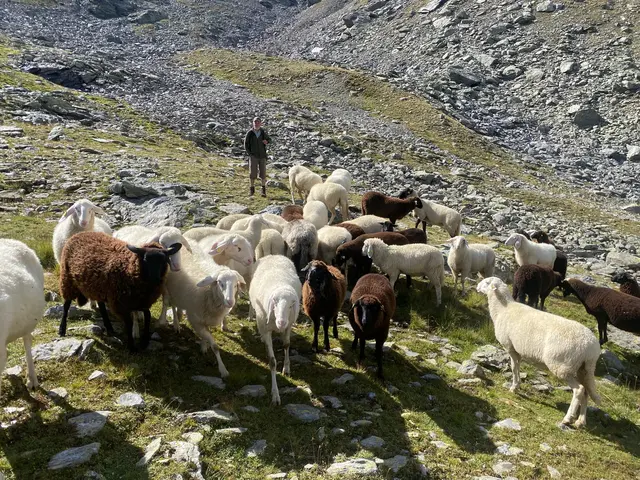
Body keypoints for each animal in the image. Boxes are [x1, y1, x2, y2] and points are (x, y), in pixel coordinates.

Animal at [164, 244, 245, 376]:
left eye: (235, 285)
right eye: (220, 283)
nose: (230, 302)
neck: (209, 293)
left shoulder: (206, 320)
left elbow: (206, 336)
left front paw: (203, 345)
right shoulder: (196, 321)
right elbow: (215, 347)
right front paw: (223, 370)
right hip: (171, 290)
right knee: (173, 305)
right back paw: (176, 324)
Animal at [249, 255, 302, 405]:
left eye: (291, 306)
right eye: (275, 303)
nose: (281, 322)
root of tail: (274, 255)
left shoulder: (289, 326)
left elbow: (287, 345)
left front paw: (287, 368)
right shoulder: (266, 328)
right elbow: (272, 362)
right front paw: (275, 394)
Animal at [477, 277, 601, 428]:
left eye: (487, 282)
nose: (477, 286)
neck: (503, 309)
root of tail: (591, 347)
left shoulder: (510, 347)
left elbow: (513, 368)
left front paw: (513, 387)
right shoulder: (518, 350)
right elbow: (517, 366)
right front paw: (517, 385)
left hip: (563, 366)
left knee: (579, 390)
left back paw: (568, 418)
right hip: (583, 368)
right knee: (586, 392)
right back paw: (580, 421)